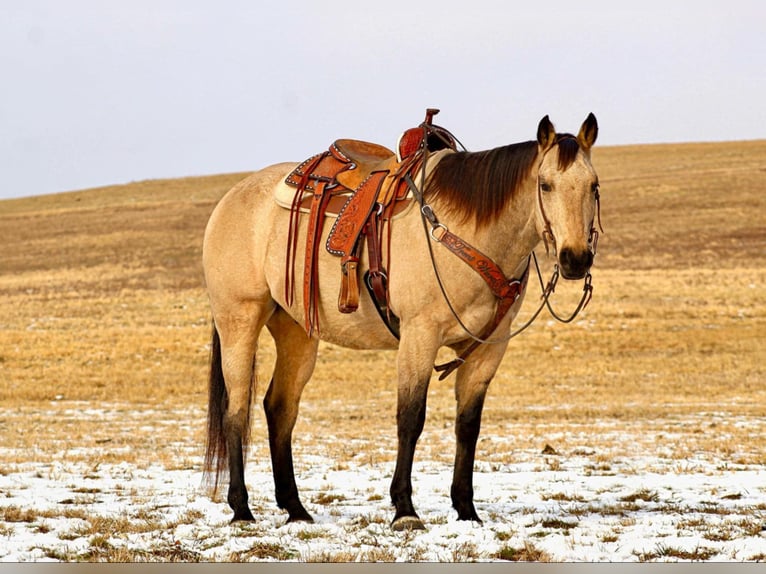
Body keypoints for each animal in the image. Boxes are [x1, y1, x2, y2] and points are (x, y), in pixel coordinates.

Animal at [204, 109, 608, 532]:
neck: (468, 231)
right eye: (545, 185)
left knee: (280, 407)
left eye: (593, 185)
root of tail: (231, 198)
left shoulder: (487, 348)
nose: (575, 259)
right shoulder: (420, 335)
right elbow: (411, 417)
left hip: (297, 331)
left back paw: (296, 509)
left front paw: (466, 509)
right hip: (239, 320)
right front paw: (404, 509)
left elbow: (468, 424)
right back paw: (241, 509)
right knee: (236, 410)